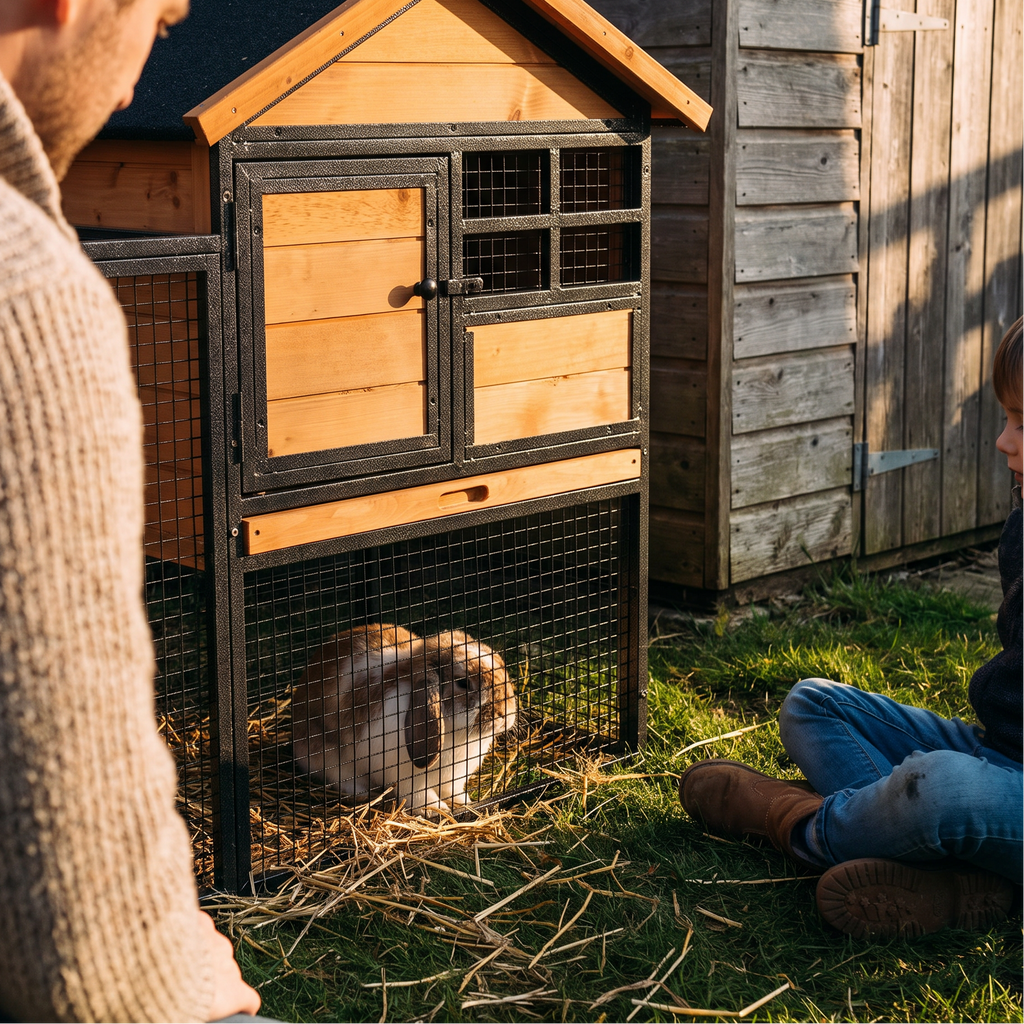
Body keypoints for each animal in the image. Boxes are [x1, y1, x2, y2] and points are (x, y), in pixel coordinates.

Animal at [292, 623, 517, 814]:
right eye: (463, 683)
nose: (505, 715)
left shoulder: (452, 778)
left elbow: (452, 791)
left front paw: (464, 802)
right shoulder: (405, 775)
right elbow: (417, 794)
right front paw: (434, 810)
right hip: (326, 755)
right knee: (341, 777)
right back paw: (364, 792)